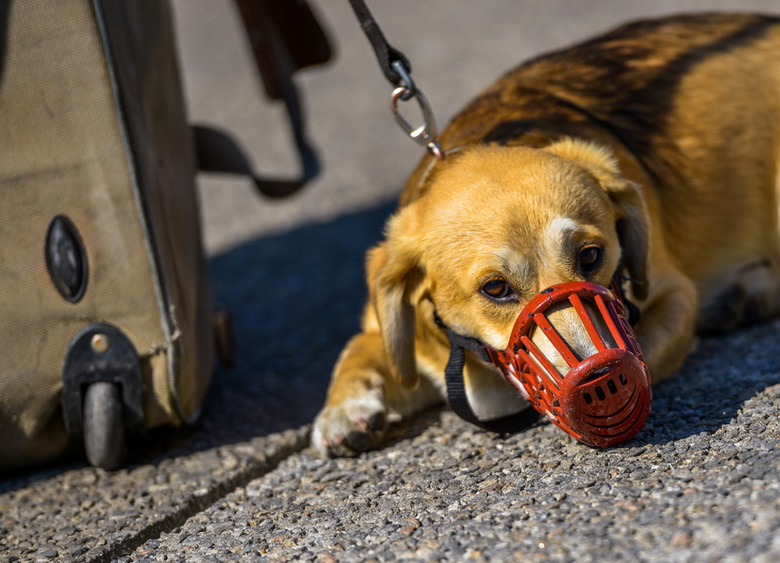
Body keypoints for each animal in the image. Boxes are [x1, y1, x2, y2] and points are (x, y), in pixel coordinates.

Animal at [310, 11, 780, 456]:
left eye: (590, 255)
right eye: (495, 288)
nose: (600, 376)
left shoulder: (675, 294)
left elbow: (645, 342)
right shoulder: (391, 337)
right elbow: (355, 352)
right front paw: (343, 412)